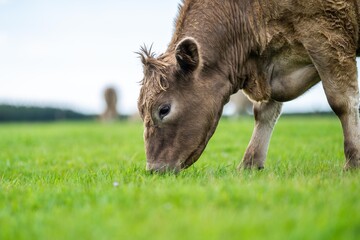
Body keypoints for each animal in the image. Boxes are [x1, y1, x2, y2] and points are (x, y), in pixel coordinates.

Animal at [137, 0, 360, 172]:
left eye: (164, 109)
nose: (154, 169)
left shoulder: (328, 36)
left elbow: (341, 102)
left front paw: (353, 162)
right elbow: (264, 113)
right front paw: (250, 164)